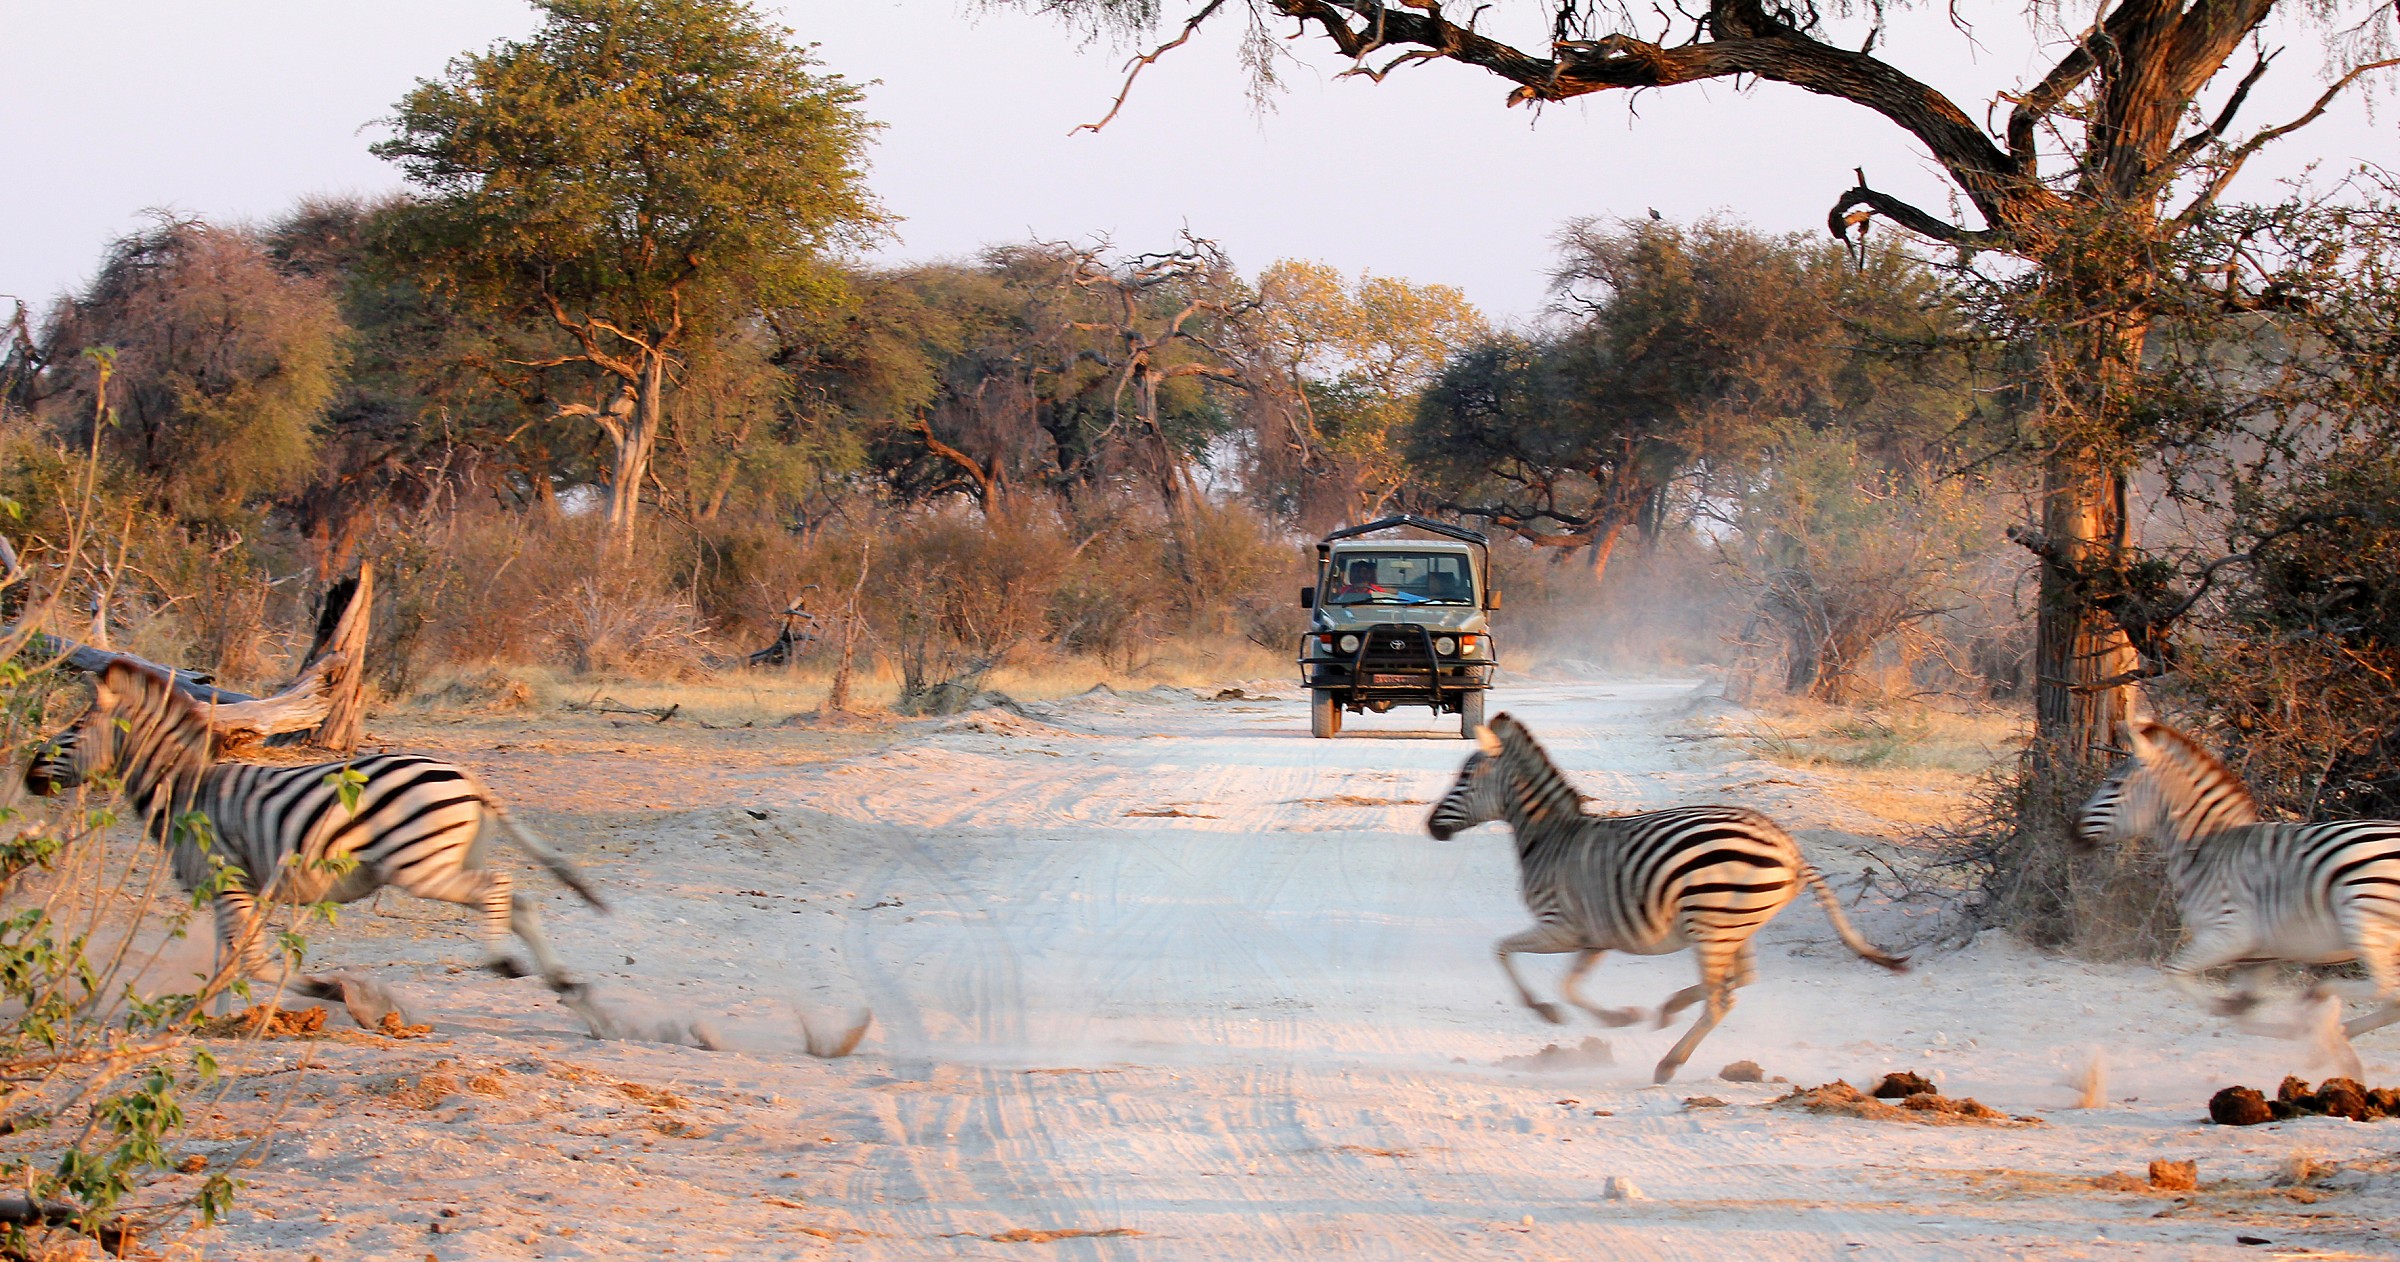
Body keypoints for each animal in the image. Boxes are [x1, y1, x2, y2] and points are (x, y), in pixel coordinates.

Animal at [25, 660, 608, 1030]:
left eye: (74, 728)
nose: (28, 776)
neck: (187, 788)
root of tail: (469, 776)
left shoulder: (227, 879)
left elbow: (250, 961)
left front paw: (336, 994)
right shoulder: (230, 889)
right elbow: (225, 962)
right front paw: (213, 1021)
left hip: (421, 867)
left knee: (500, 887)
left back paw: (504, 962)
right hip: (449, 858)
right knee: (517, 899)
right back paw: (570, 990)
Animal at [1428, 714, 1908, 1083]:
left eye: (1464, 778)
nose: (1431, 827)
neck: (1552, 839)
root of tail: (1789, 848)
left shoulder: (1561, 926)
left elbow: (1505, 951)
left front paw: (1546, 1012)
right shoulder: (1593, 936)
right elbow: (1570, 984)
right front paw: (1619, 1018)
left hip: (1712, 921)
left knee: (1722, 998)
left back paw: (1668, 1064)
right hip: (1737, 924)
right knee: (1740, 979)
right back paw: (1670, 1007)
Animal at [2076, 718, 2400, 1068]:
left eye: (2114, 786)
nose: (2071, 830)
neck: (2207, 848)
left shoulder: (2230, 934)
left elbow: (2176, 973)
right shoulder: (2258, 955)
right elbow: (2244, 1017)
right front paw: (2308, 1038)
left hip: (2364, 918)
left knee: (2385, 988)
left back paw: (2320, 999)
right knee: (2391, 1001)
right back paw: (2338, 1039)